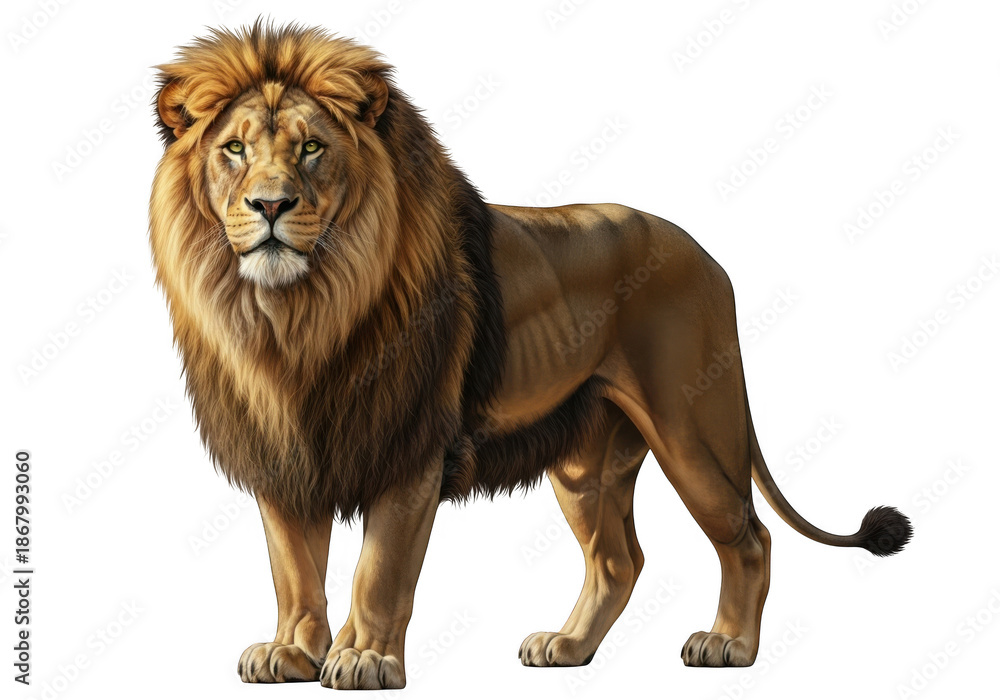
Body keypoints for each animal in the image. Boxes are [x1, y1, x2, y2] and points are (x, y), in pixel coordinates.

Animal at [148, 22, 912, 690]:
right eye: (234, 150)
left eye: (310, 149)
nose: (270, 205)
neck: (297, 315)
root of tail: (706, 255)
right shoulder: (283, 452)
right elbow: (295, 570)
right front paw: (292, 652)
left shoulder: (411, 449)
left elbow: (379, 570)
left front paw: (363, 659)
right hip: (585, 462)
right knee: (618, 560)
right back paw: (568, 646)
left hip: (694, 427)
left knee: (749, 537)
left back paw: (728, 644)